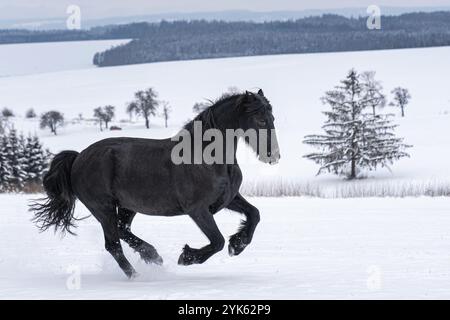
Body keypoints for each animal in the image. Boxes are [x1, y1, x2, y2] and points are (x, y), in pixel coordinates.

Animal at [30, 89, 278, 278]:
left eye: (272, 118)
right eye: (260, 119)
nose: (273, 155)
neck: (207, 158)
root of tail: (78, 157)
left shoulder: (228, 199)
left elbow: (254, 214)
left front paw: (237, 244)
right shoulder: (197, 210)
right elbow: (216, 241)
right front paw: (187, 256)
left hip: (126, 206)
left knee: (123, 231)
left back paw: (152, 256)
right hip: (103, 208)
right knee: (113, 244)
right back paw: (137, 276)